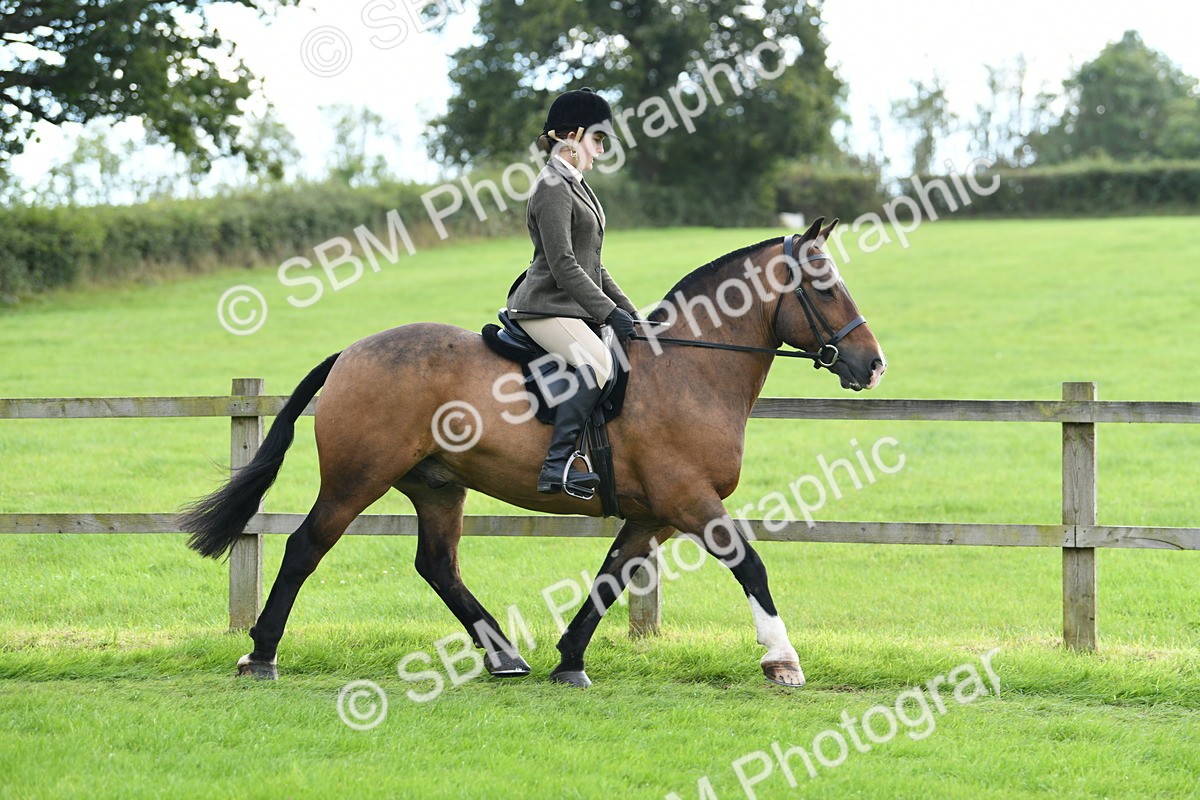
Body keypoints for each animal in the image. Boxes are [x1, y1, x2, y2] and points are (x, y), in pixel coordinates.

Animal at [179, 217, 886, 688]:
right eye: (825, 287)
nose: (871, 365)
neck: (689, 368)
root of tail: (350, 353)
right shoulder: (690, 499)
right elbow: (752, 567)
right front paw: (782, 661)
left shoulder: (651, 513)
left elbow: (609, 580)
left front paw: (569, 661)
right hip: (358, 478)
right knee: (306, 548)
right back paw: (260, 655)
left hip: (437, 484)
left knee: (438, 565)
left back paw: (504, 655)